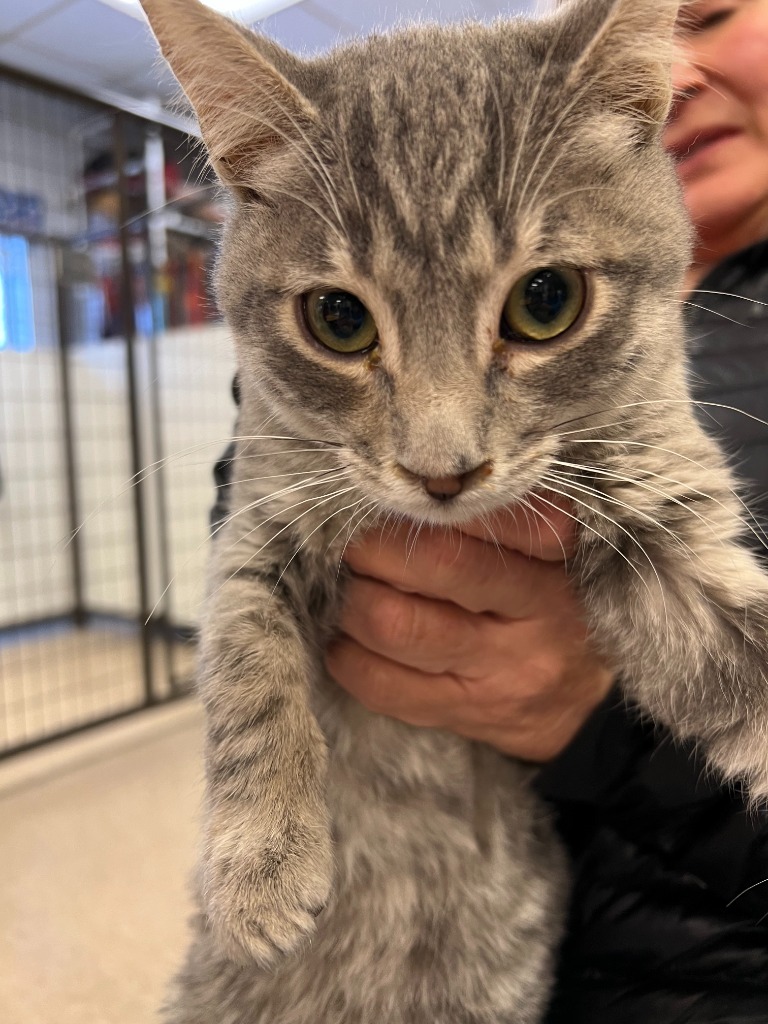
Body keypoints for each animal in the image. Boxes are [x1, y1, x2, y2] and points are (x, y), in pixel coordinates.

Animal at [141, 0, 765, 1019]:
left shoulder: (661, 505)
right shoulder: (263, 515)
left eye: (547, 301)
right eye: (338, 320)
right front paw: (260, 861)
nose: (444, 472)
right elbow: (247, 664)